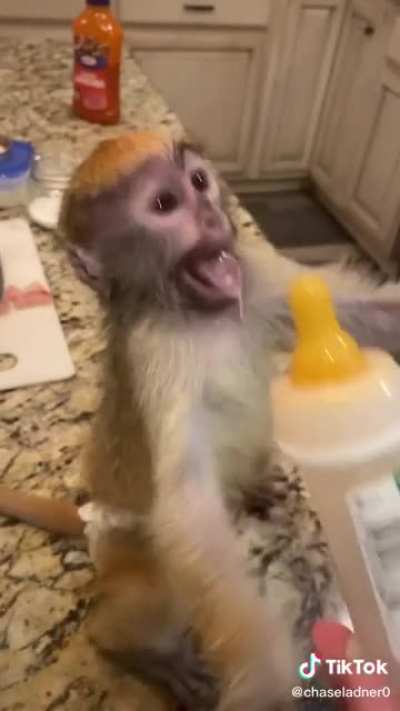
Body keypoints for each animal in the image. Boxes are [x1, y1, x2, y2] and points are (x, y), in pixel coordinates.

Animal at [3, 130, 400, 710]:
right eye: (165, 204)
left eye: (198, 182)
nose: (212, 217)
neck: (198, 314)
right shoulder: (158, 356)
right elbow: (188, 505)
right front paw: (268, 680)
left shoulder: (253, 275)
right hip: (127, 548)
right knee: (156, 595)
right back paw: (135, 649)